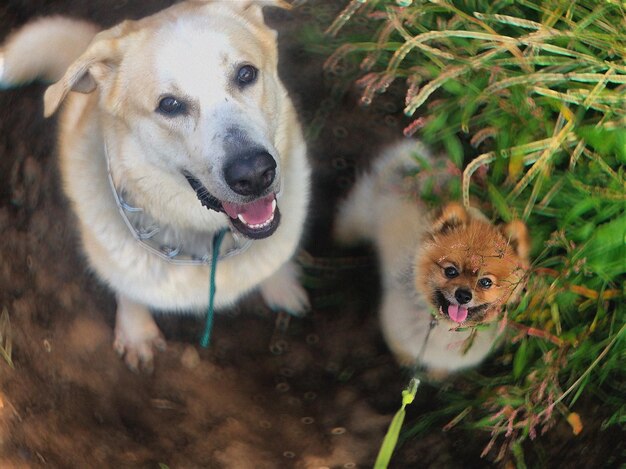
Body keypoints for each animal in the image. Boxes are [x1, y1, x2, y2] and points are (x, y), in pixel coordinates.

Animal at [0, 1, 310, 372]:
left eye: (246, 74)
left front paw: (282, 284)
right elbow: (129, 289)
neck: (205, 241)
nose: (254, 174)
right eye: (169, 105)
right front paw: (137, 332)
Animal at [334, 142, 528, 376]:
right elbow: (402, 348)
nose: (463, 295)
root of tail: (415, 171)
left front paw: (436, 374)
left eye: (486, 282)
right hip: (360, 216)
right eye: (450, 271)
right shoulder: (395, 325)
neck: (442, 327)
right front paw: (406, 361)